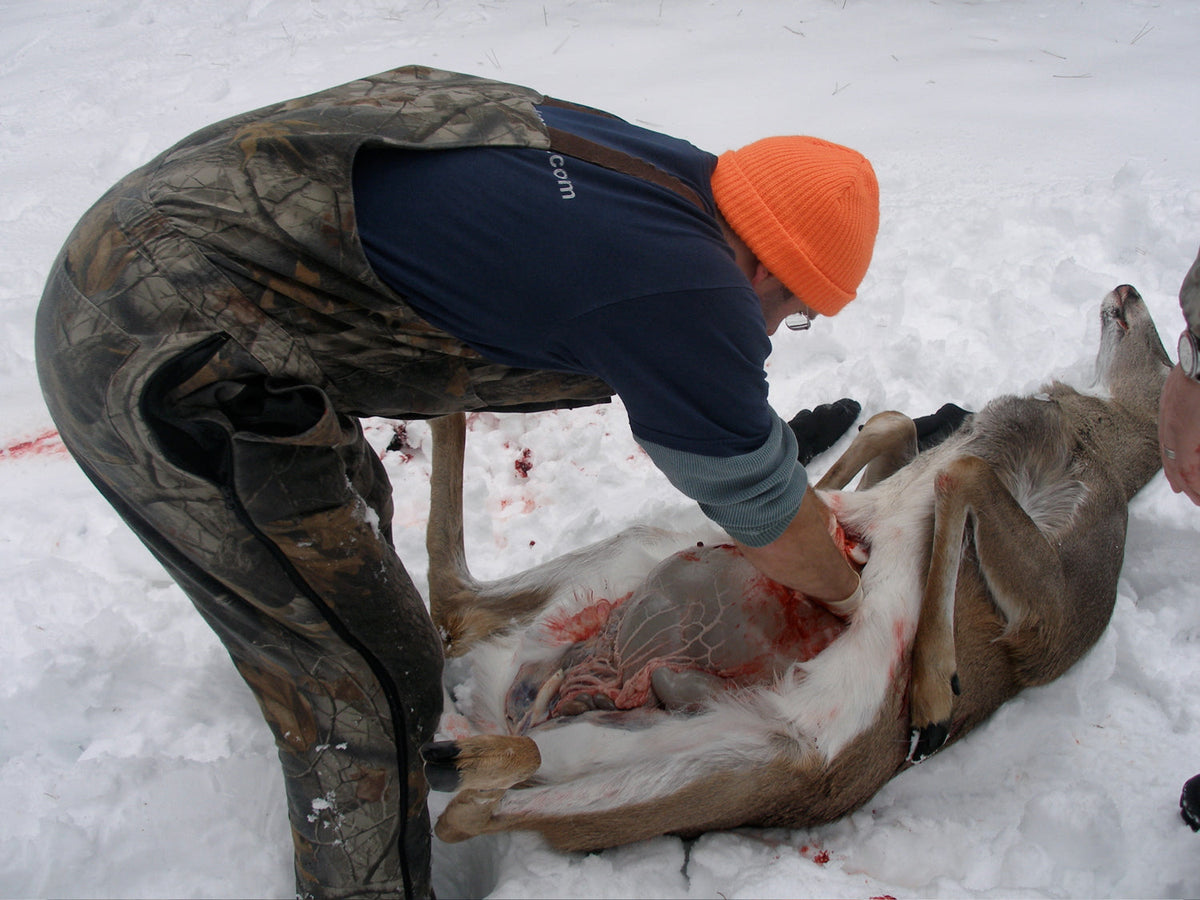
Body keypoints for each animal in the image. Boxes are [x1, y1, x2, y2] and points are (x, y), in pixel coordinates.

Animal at [417, 283, 1170, 852]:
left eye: (1170, 353)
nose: (1128, 290)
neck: (1101, 438)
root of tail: (510, 701)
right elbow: (903, 433)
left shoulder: (1058, 613)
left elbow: (954, 470)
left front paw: (932, 693)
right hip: (643, 572)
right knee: (457, 618)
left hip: (730, 764)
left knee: (468, 792)